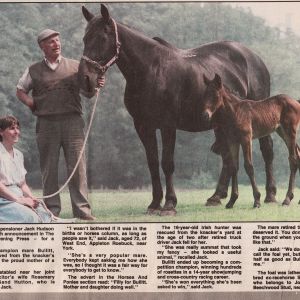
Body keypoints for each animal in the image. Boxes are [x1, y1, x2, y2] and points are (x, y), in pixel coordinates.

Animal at [202, 74, 300, 207]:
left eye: (215, 95)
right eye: (205, 94)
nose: (205, 115)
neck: (235, 111)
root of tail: (296, 101)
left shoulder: (246, 138)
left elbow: (249, 166)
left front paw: (257, 200)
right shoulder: (233, 141)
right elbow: (234, 167)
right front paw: (232, 201)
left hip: (290, 132)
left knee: (293, 159)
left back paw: (287, 199)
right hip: (282, 132)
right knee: (298, 156)